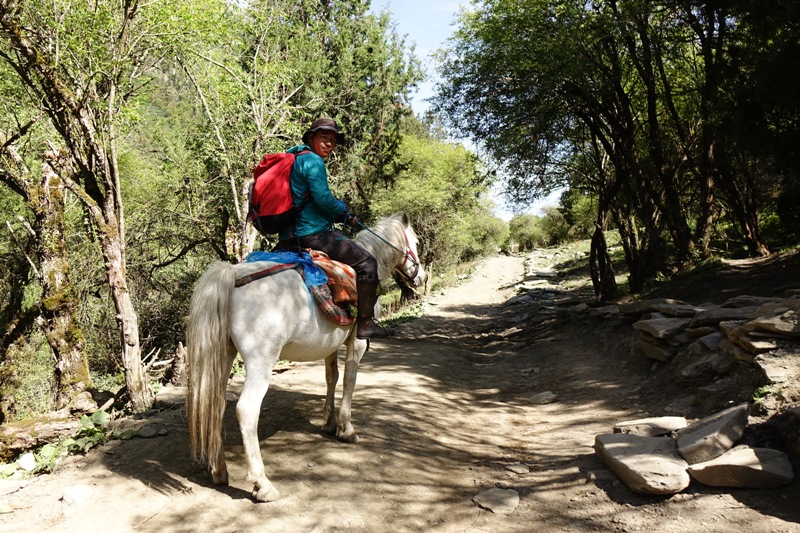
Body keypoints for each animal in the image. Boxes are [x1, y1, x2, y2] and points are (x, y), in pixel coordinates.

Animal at [186, 213, 424, 502]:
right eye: (416, 242)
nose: (422, 277)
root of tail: (232, 276)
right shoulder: (356, 342)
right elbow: (350, 381)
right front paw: (346, 428)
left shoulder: (330, 345)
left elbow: (332, 377)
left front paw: (329, 422)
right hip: (261, 361)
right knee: (246, 410)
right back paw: (262, 484)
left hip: (224, 356)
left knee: (216, 405)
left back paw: (219, 470)